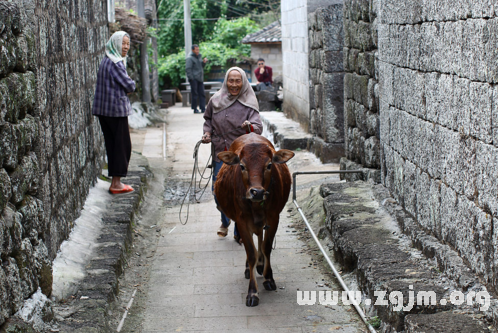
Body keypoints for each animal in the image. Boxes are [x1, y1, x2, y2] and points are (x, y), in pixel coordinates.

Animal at [215, 132, 294, 306]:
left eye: (269, 165)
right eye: (242, 166)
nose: (257, 192)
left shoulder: (273, 217)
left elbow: (266, 247)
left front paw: (268, 278)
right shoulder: (242, 220)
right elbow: (250, 252)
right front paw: (252, 292)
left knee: (260, 237)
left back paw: (260, 264)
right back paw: (250, 267)